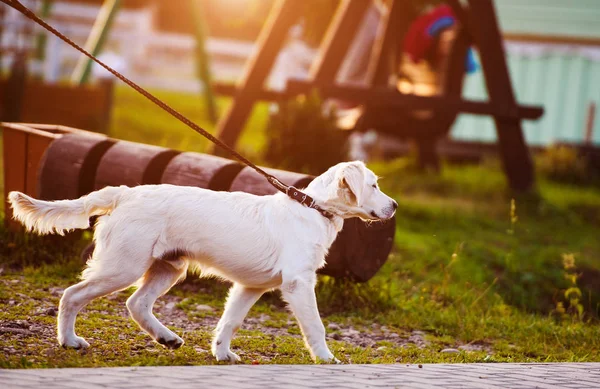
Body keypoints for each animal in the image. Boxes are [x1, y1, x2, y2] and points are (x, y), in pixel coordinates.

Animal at [9, 159, 396, 362]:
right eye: (374, 185)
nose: (394, 206)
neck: (312, 209)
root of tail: (124, 194)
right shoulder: (299, 283)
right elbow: (315, 325)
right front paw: (326, 358)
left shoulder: (249, 287)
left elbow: (230, 322)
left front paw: (222, 354)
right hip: (123, 266)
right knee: (72, 295)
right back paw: (69, 341)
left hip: (168, 267)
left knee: (137, 304)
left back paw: (166, 338)